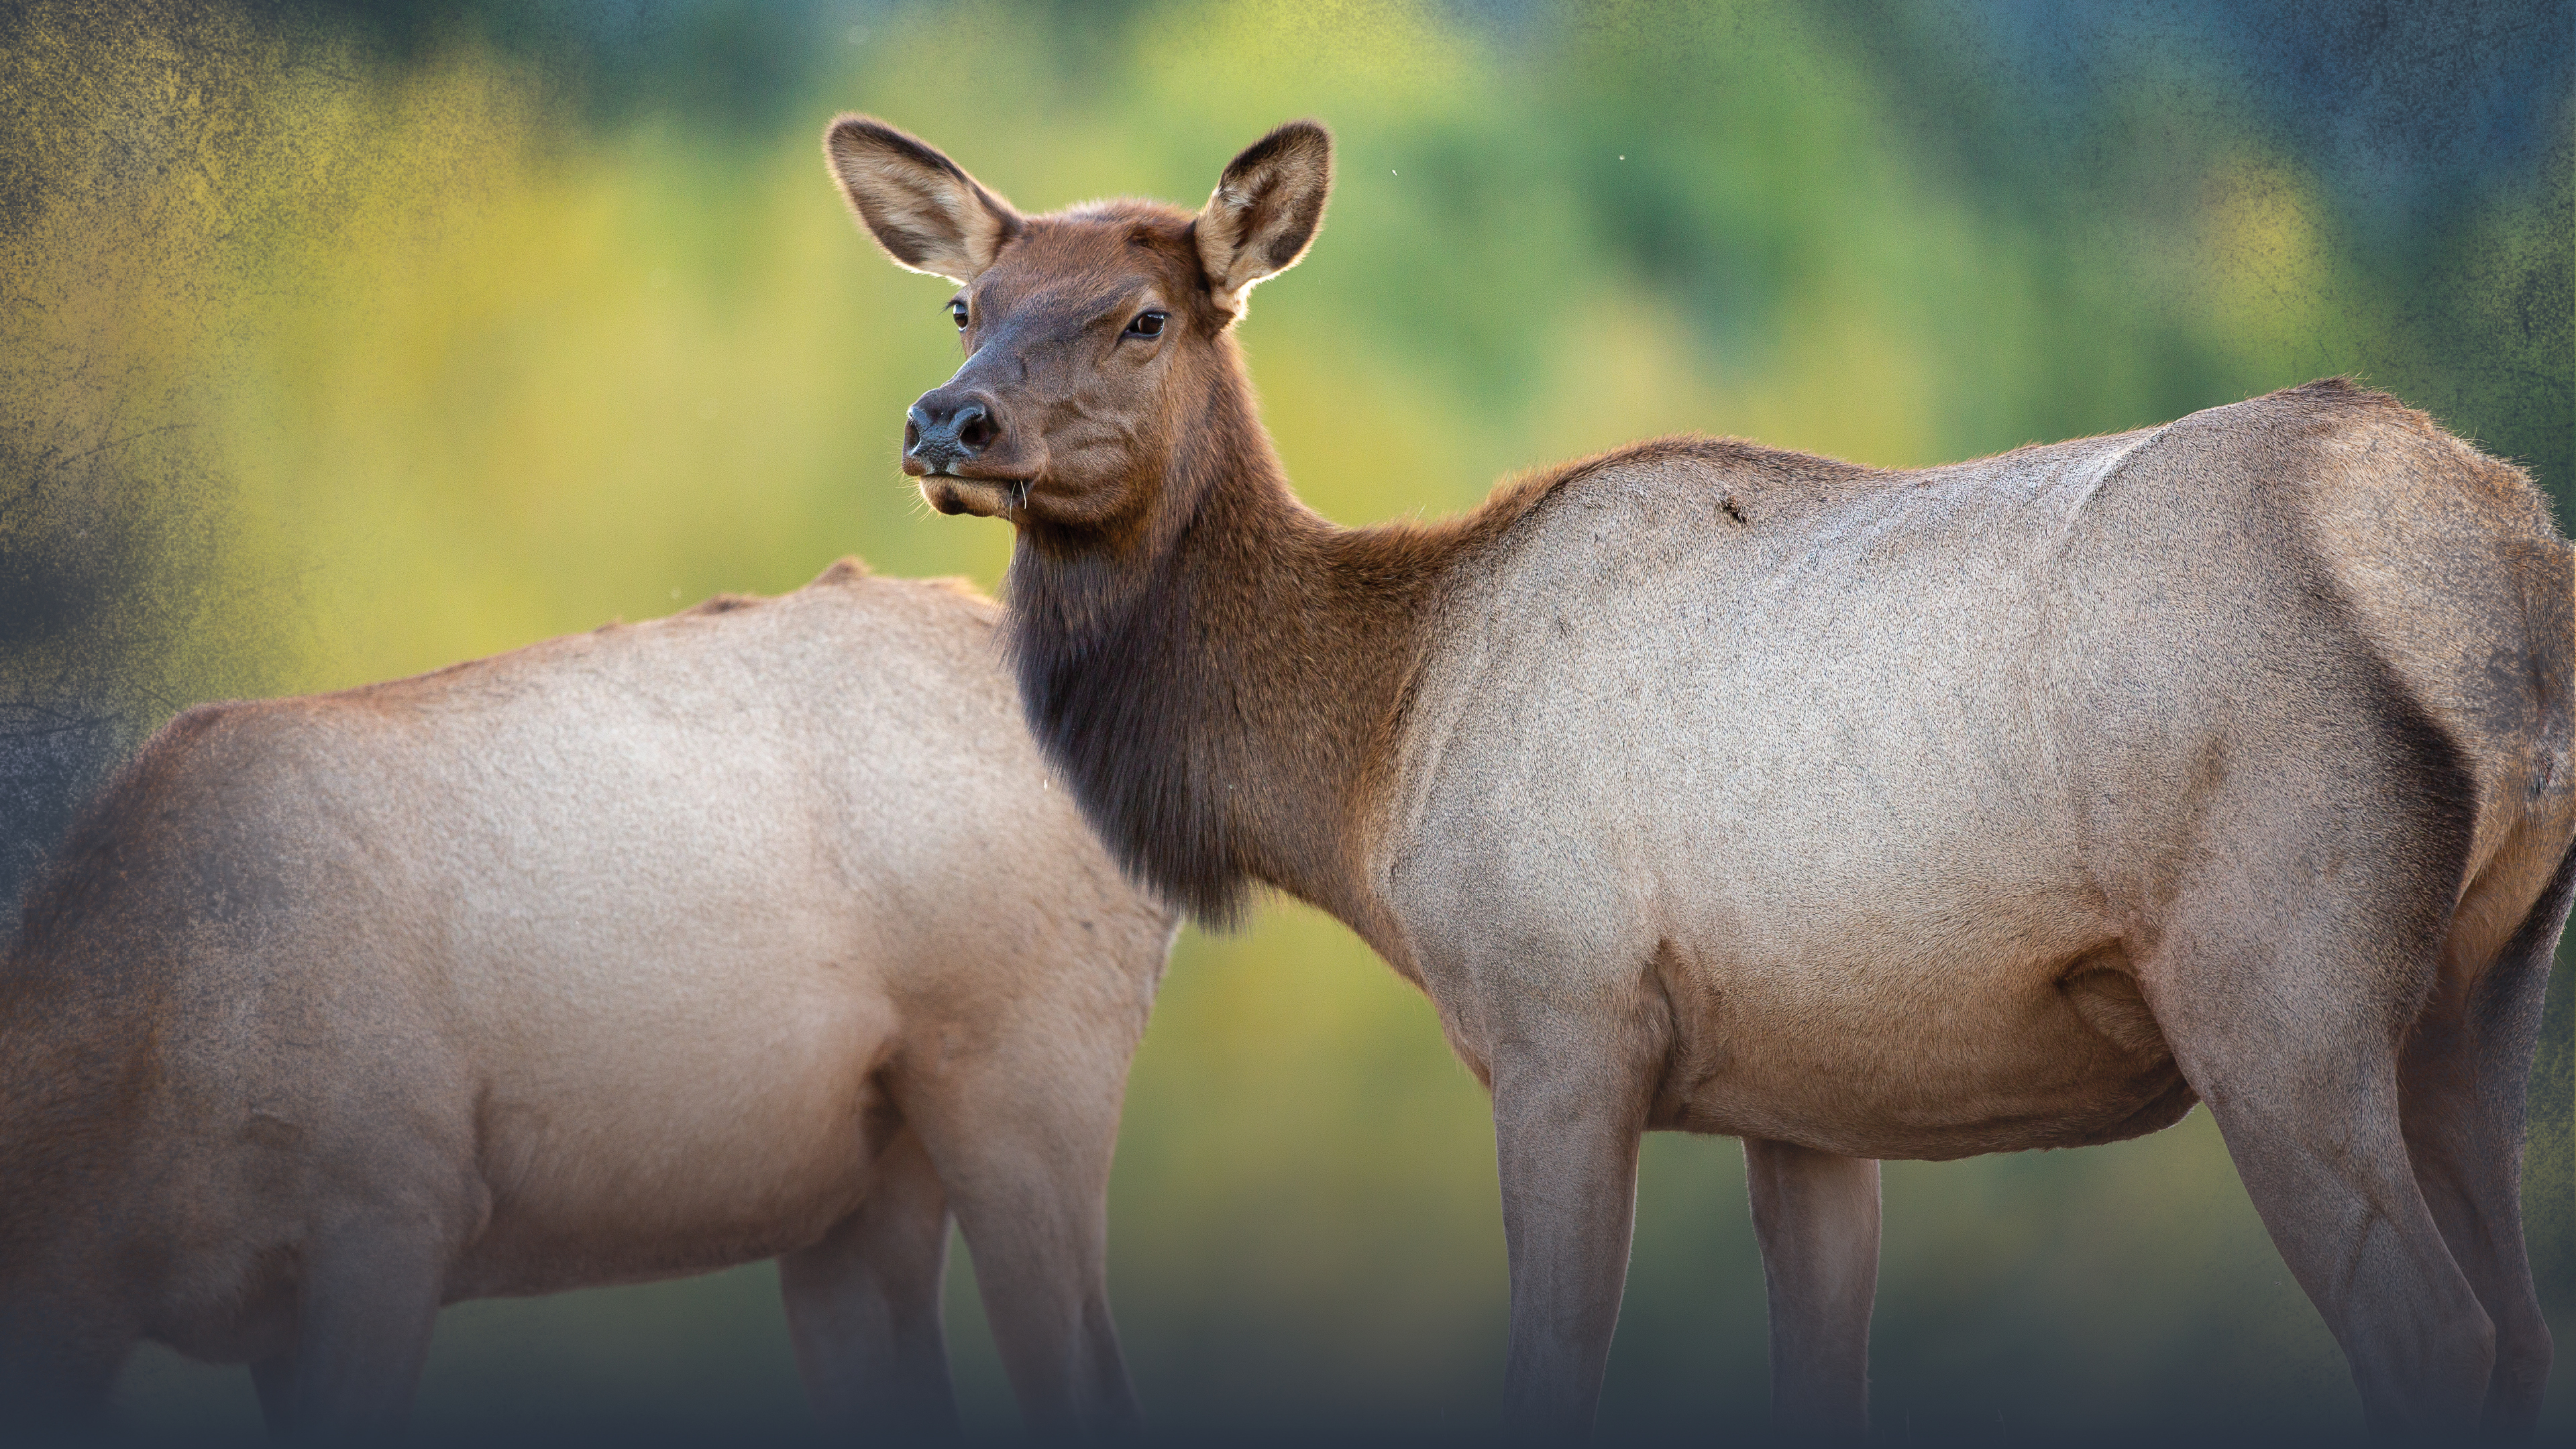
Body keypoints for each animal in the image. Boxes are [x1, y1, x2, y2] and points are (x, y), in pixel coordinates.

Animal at [824, 112, 2576, 1441]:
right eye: (969, 304)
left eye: (1146, 317)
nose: (945, 421)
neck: (1371, 759)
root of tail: (2496, 573)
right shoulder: (1807, 1093)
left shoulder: (1560, 1017)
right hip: (2478, 996)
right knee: (2517, 1326)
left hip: (2272, 969)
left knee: (2432, 1331)